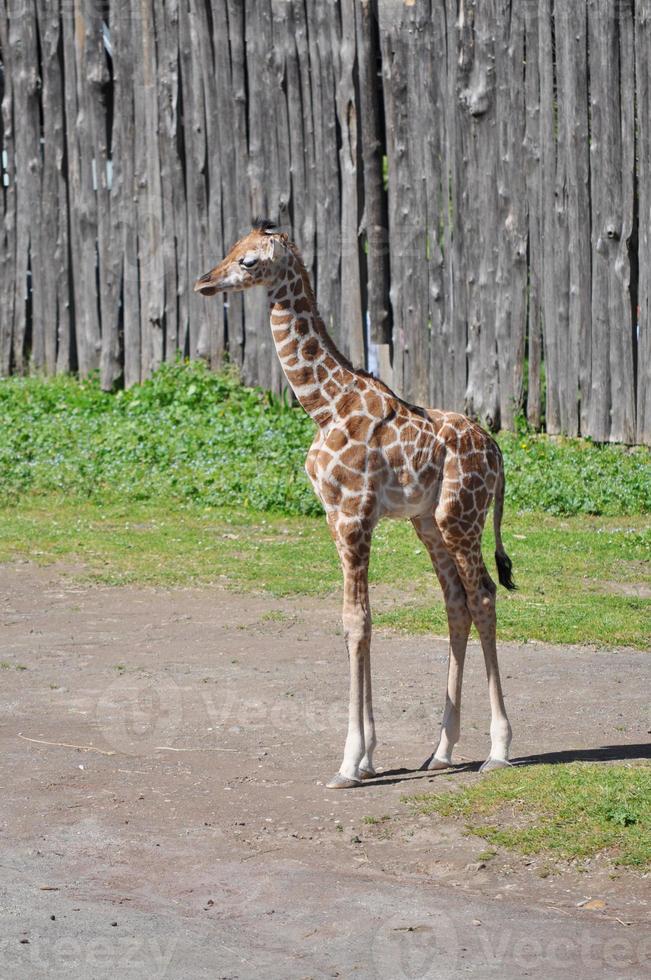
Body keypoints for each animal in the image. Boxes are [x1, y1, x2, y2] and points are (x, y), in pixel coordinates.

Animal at [196, 220, 516, 788]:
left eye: (250, 262)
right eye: (231, 250)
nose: (205, 282)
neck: (323, 406)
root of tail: (497, 452)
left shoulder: (353, 515)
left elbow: (356, 620)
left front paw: (349, 762)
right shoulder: (336, 516)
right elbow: (361, 619)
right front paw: (367, 758)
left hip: (461, 516)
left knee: (482, 597)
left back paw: (498, 749)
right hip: (427, 524)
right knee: (456, 604)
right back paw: (441, 752)